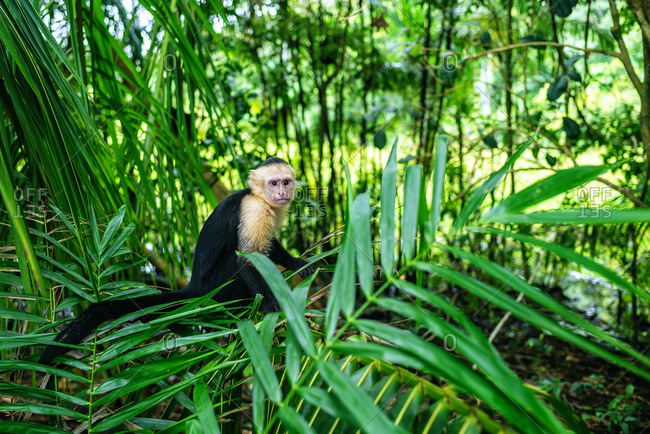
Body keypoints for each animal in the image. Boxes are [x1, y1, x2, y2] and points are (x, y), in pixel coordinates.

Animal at [39, 157, 314, 365]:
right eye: (273, 183)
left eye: (286, 182)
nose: (282, 192)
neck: (260, 197)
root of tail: (194, 287)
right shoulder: (254, 210)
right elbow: (248, 259)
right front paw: (271, 305)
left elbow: (270, 246)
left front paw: (296, 263)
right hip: (216, 285)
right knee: (233, 264)